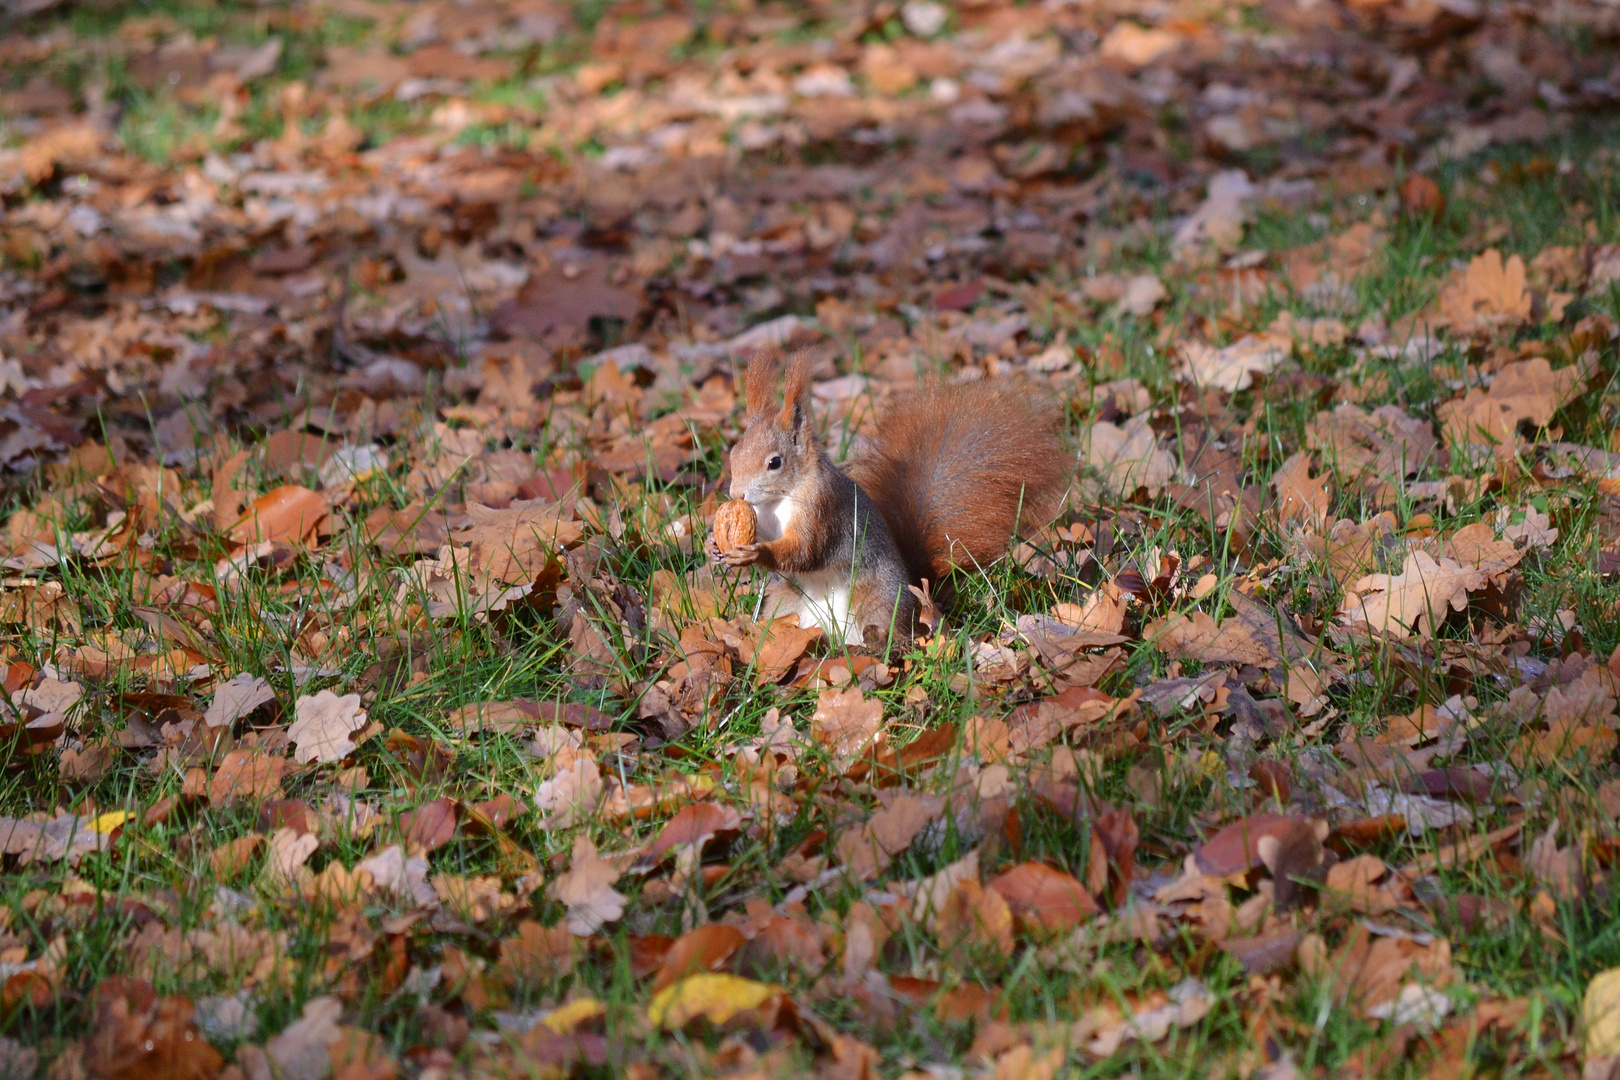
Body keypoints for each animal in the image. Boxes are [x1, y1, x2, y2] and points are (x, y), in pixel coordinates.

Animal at [712, 352, 1069, 650]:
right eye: (734, 452)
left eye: (775, 462)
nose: (736, 495)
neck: (779, 500)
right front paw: (714, 546)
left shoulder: (822, 510)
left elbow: (805, 551)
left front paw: (756, 552)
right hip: (786, 603)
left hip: (878, 603)